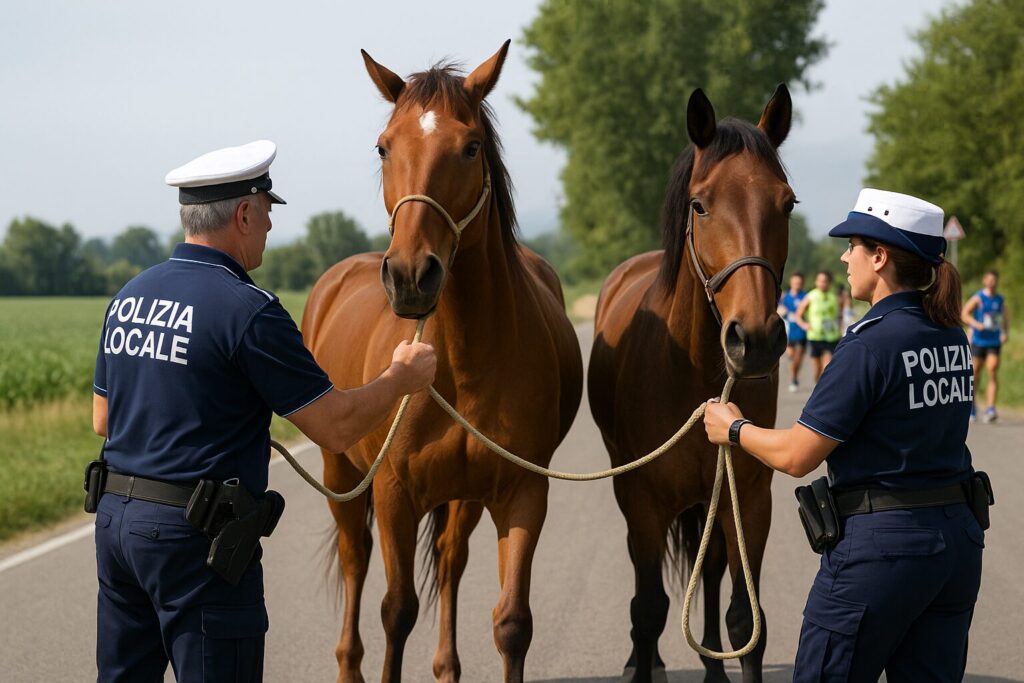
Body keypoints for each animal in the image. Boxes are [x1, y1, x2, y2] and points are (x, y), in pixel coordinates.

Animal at [302, 41, 583, 683]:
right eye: (384, 146)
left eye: (471, 146)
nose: (410, 275)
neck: (460, 360)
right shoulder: (393, 494)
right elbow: (396, 610)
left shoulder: (521, 493)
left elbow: (512, 622)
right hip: (341, 474)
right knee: (356, 562)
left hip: (463, 498)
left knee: (451, 561)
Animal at [587, 85, 794, 683]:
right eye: (700, 204)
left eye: (787, 203)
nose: (756, 338)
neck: (692, 368)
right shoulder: (644, 501)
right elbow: (648, 608)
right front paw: (642, 663)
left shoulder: (749, 497)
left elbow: (746, 619)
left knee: (714, 571)